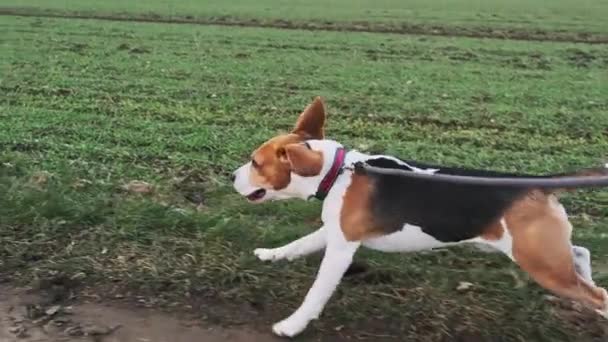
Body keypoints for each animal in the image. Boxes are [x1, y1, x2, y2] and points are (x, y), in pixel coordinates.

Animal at [232, 97, 608, 338]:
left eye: (256, 163)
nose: (231, 177)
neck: (337, 172)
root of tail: (538, 185)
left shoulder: (341, 249)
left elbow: (317, 292)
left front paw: (292, 325)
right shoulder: (336, 232)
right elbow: (296, 245)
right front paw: (270, 255)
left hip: (538, 261)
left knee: (597, 292)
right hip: (543, 252)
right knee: (580, 254)